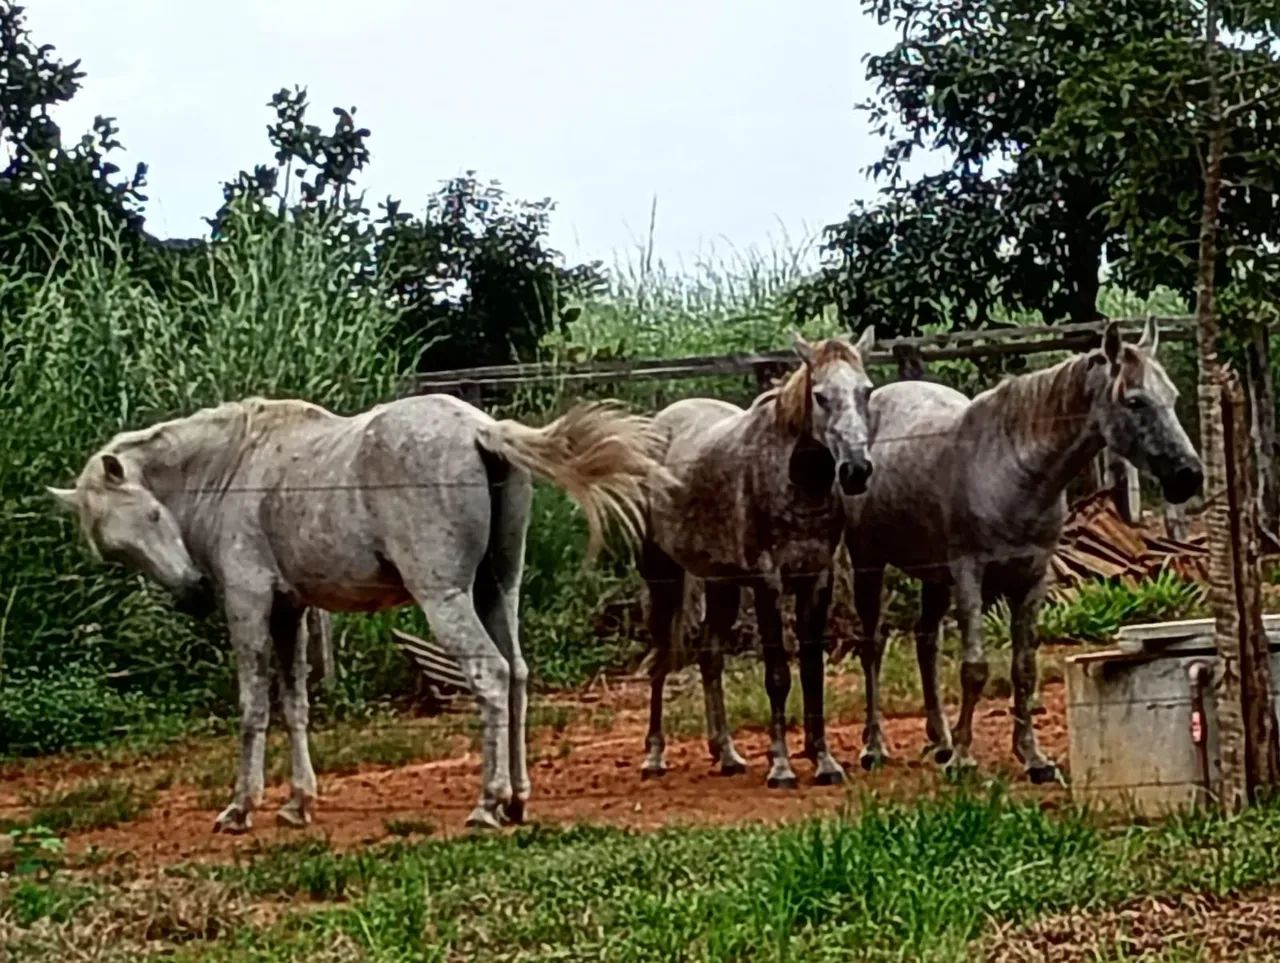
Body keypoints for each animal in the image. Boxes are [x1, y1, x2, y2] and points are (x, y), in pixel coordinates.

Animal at [48, 394, 666, 832]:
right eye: (116, 550)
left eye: (152, 517)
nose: (194, 592)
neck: (236, 467)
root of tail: (480, 430)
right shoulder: (290, 611)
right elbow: (294, 706)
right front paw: (298, 803)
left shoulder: (249, 604)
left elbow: (253, 707)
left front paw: (241, 808)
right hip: (497, 591)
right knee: (515, 675)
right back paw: (515, 799)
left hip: (445, 598)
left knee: (488, 675)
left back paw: (487, 803)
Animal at [640, 329, 876, 789]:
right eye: (820, 396)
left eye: (866, 391)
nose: (856, 470)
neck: (796, 482)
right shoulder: (770, 582)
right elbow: (778, 675)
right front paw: (781, 766)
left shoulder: (816, 579)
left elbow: (812, 672)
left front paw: (825, 762)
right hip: (663, 576)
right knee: (660, 658)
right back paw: (655, 756)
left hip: (721, 584)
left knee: (709, 656)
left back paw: (727, 754)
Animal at [840, 319, 1203, 782]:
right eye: (1135, 401)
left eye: (1172, 397)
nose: (1188, 475)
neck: (1013, 471)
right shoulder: (969, 575)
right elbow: (974, 669)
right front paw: (964, 759)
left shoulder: (1033, 577)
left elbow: (1024, 669)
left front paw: (1032, 757)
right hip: (869, 561)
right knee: (872, 646)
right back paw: (875, 747)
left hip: (932, 575)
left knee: (925, 642)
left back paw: (939, 740)